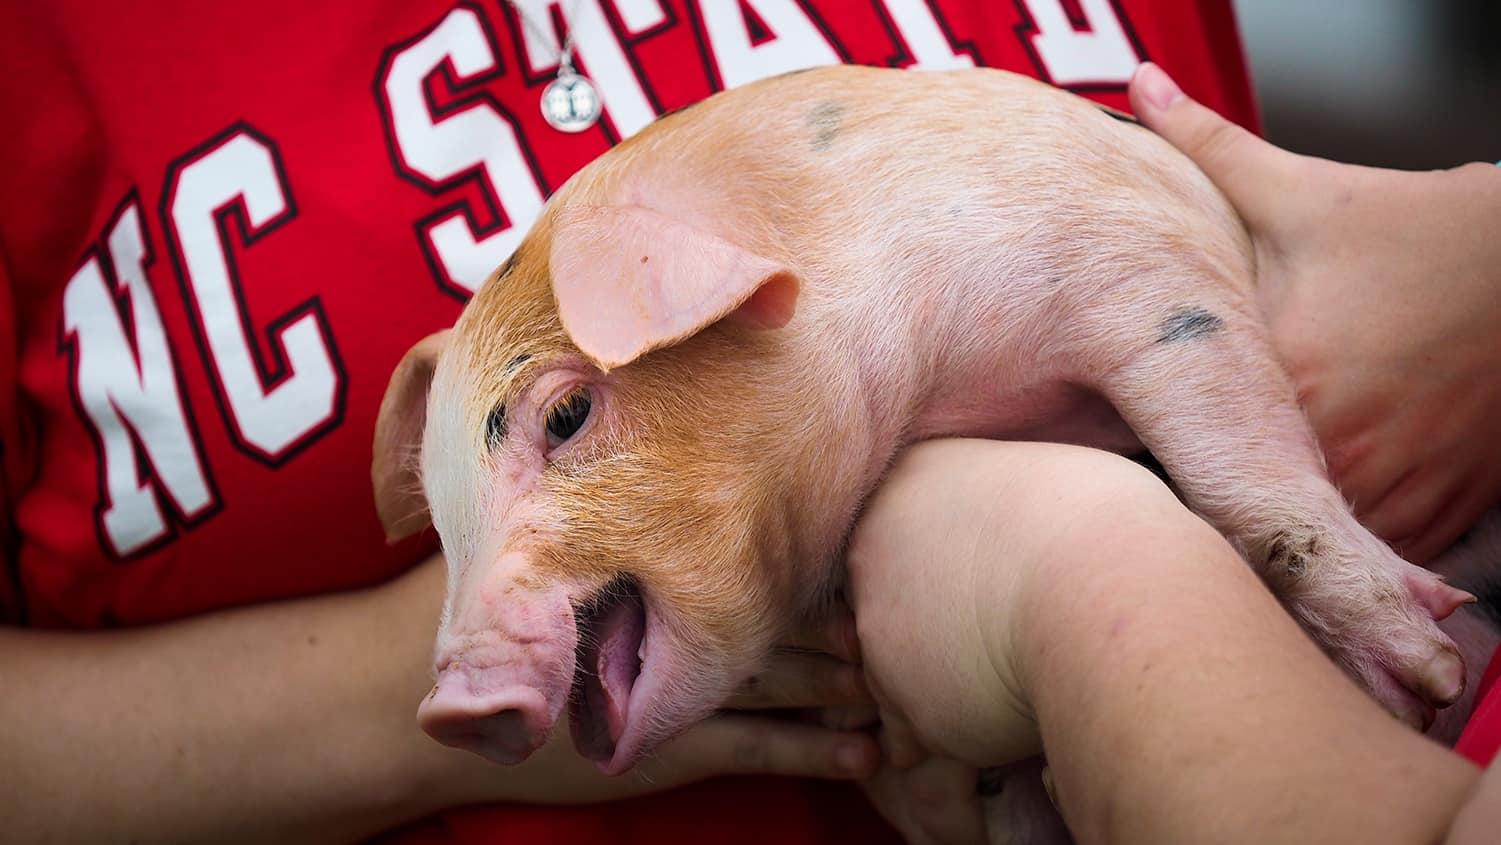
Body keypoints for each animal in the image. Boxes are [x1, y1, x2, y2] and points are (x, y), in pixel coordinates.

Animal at [371, 65, 1474, 781]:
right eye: (438, 505)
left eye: (565, 411)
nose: (448, 709)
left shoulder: (1149, 266)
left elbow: (1237, 470)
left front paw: (1427, 678)